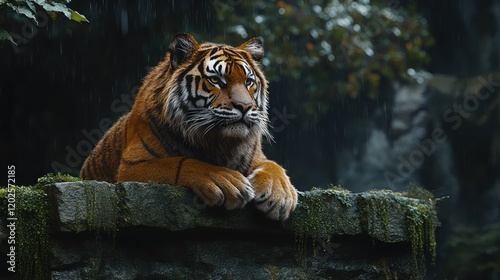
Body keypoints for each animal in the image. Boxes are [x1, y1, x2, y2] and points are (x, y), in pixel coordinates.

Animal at [79, 32, 296, 221]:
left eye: (248, 82)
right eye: (216, 80)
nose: (245, 106)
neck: (220, 142)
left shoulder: (256, 156)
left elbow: (273, 165)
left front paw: (281, 194)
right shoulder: (130, 167)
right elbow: (179, 163)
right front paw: (224, 180)